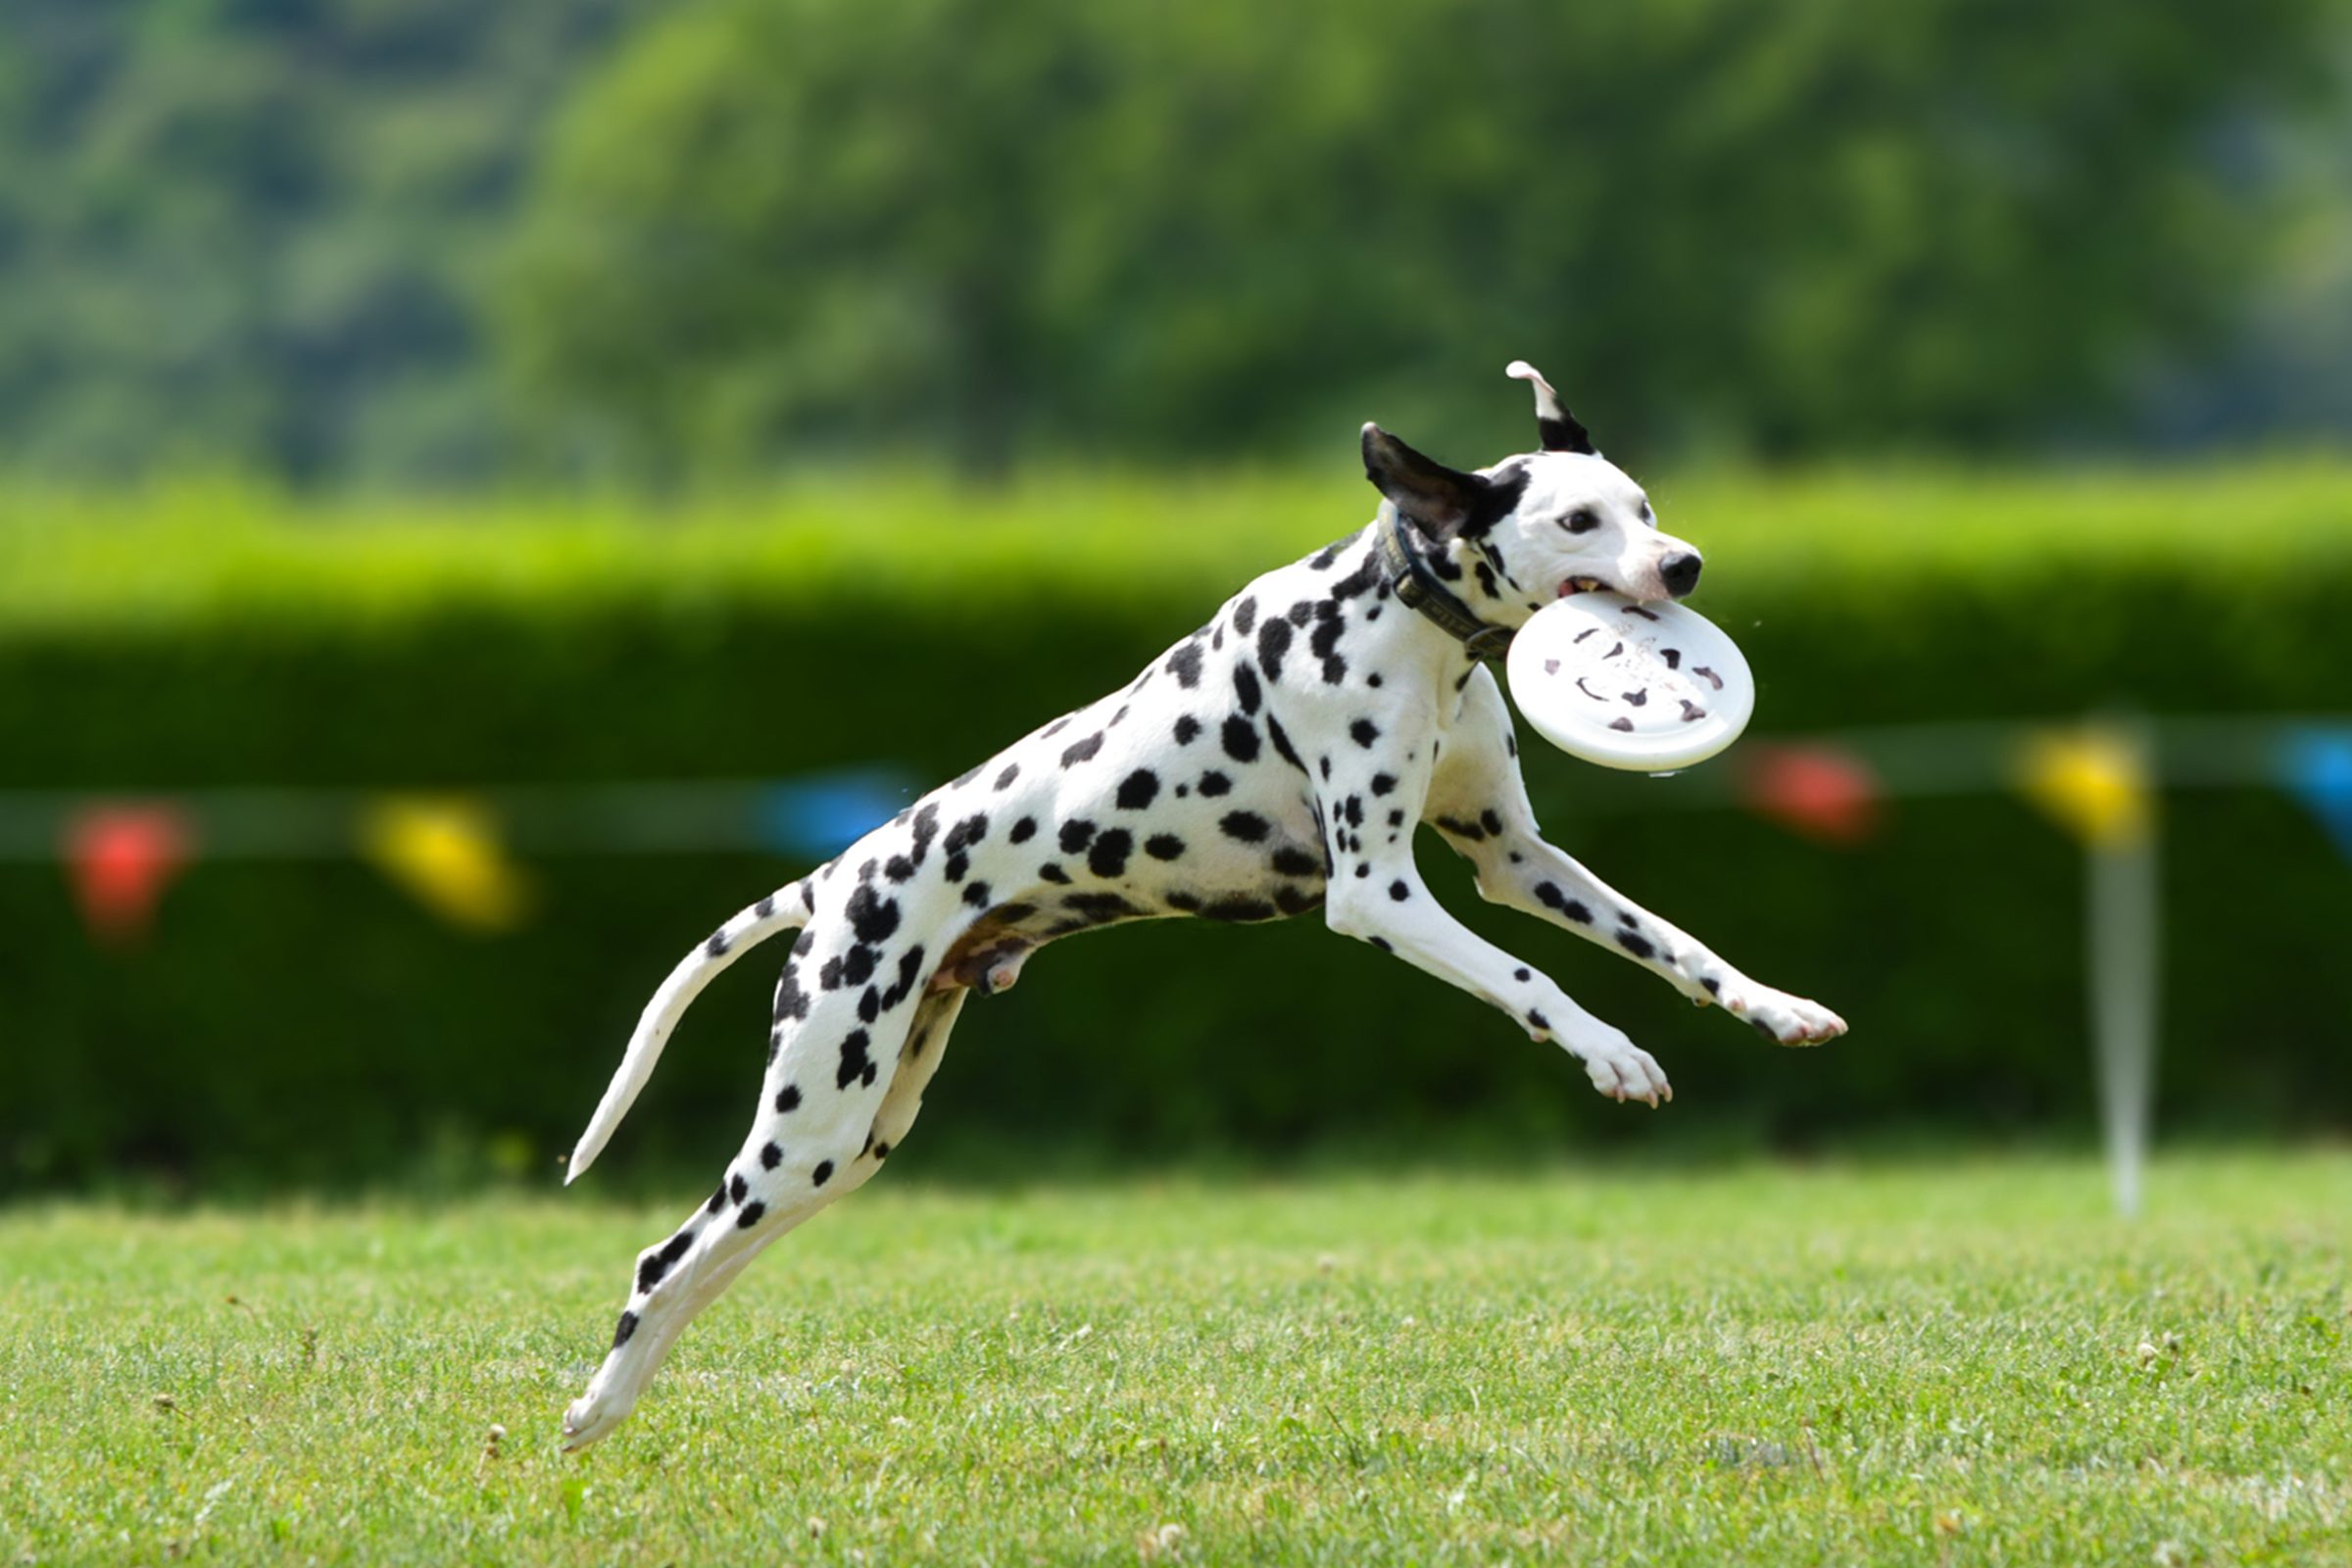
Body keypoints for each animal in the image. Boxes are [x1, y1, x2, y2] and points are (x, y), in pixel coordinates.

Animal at [560, 364, 1843, 1447]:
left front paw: (1775, 1007)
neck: (1402, 617)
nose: (1684, 565)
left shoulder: (1513, 861)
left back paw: (617, 1405)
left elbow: (1670, 941)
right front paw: (1612, 1054)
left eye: (1643, 501)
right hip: (815, 1110)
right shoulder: (1382, 891)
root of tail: (833, 879)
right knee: (664, 1258)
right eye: (1579, 522)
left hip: (850, 1143)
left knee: (706, 1263)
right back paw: (591, 1408)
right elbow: (1533, 978)